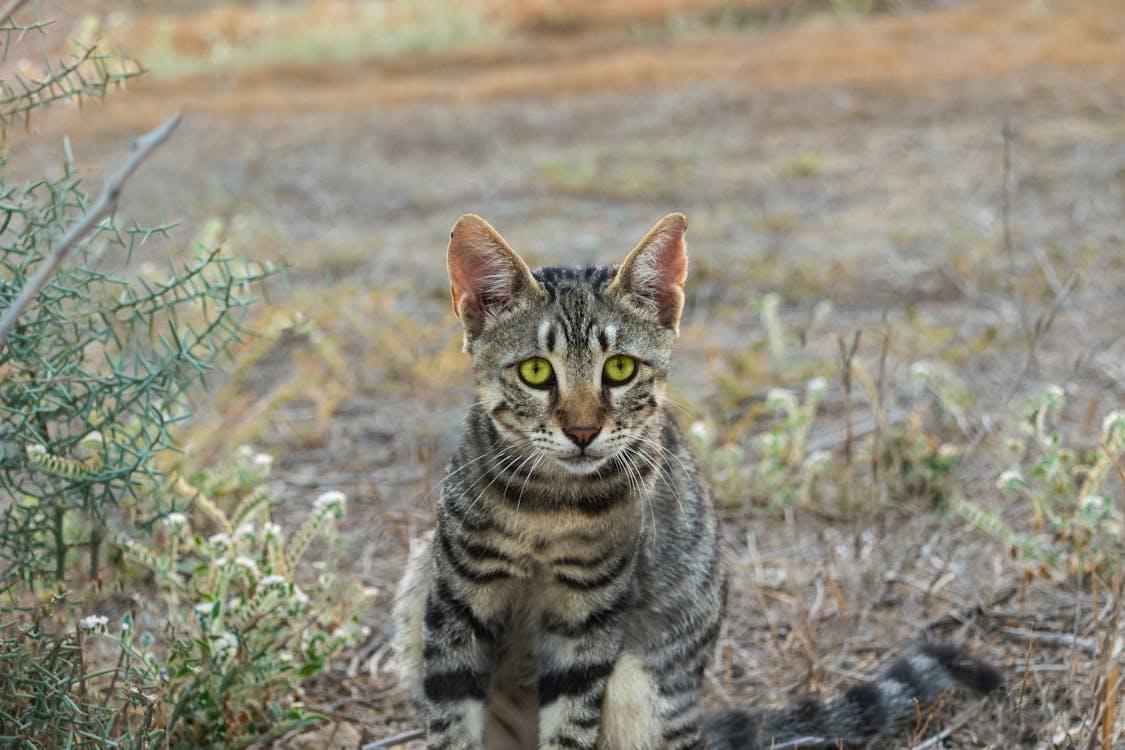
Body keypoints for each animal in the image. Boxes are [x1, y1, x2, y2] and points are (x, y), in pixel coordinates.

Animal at [389, 212, 1003, 750]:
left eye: (620, 369)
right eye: (536, 371)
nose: (583, 431)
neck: (549, 507)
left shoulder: (590, 617)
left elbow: (569, 726)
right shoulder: (456, 601)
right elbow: (452, 722)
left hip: (640, 684)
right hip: (417, 592)